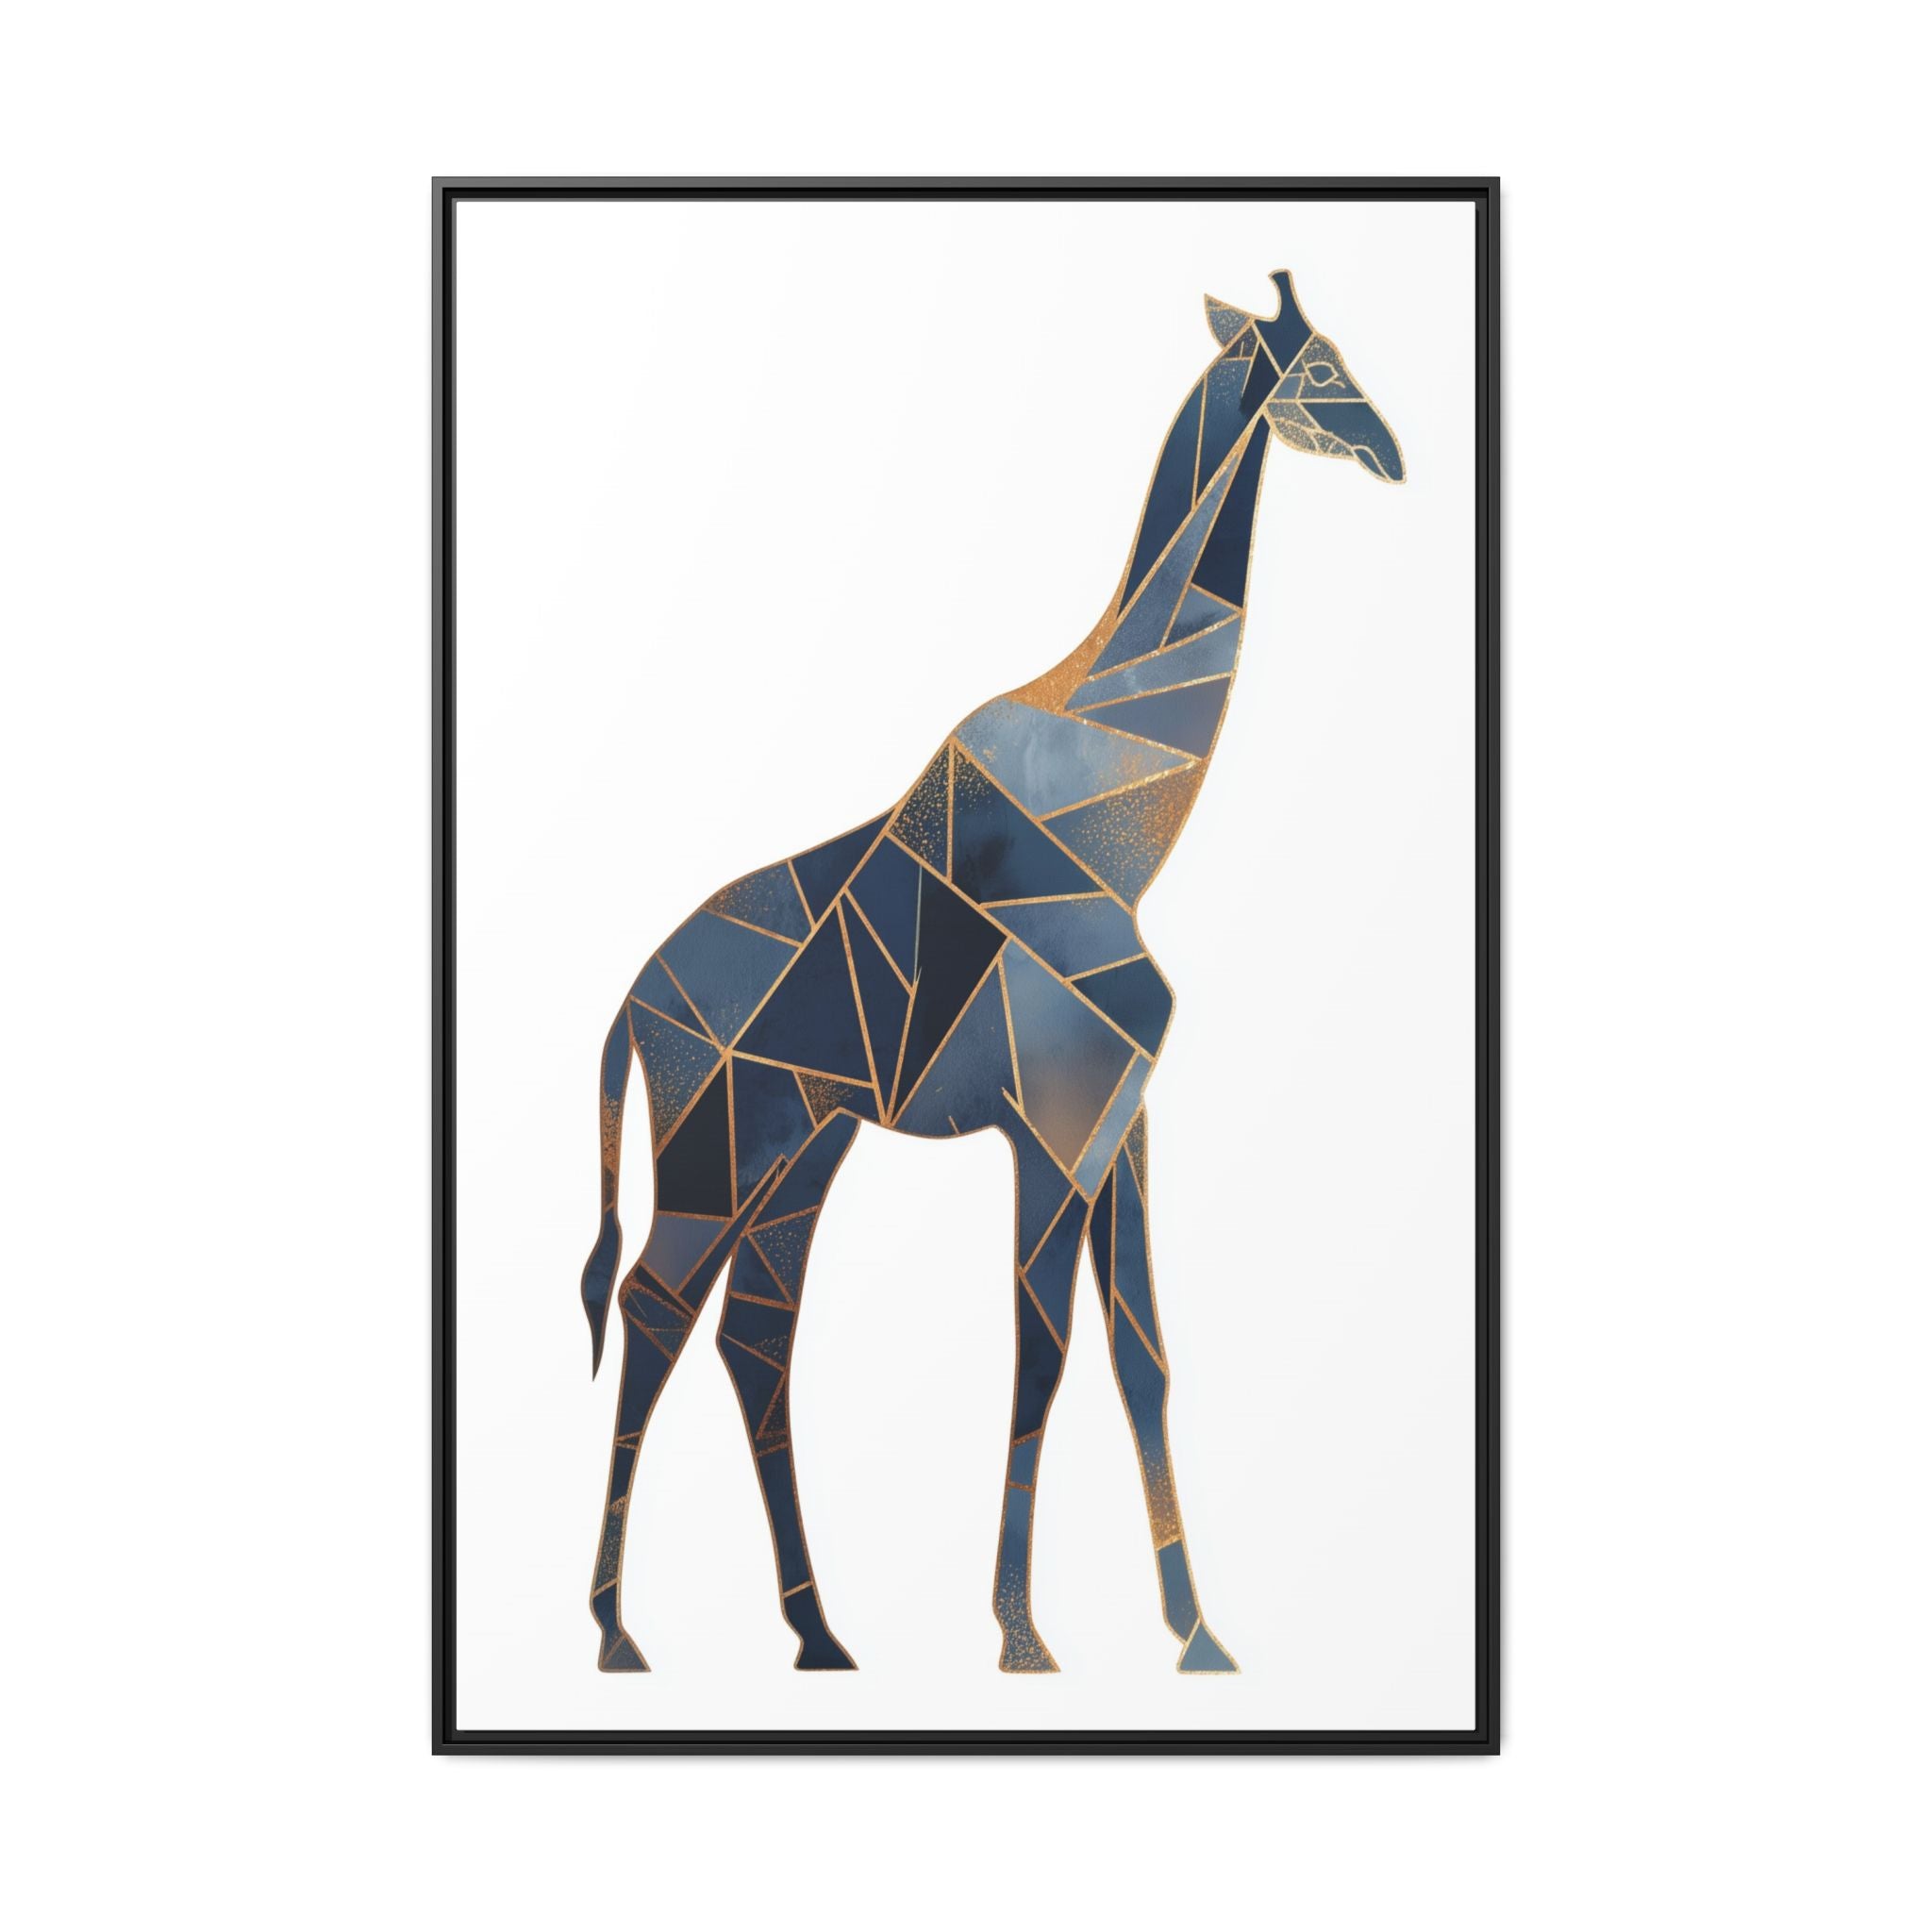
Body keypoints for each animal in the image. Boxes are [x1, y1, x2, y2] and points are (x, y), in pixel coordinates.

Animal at [580, 269, 1405, 1675]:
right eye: (1317, 366)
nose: (1391, 451)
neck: (1123, 820)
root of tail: (631, 1006)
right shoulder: (1054, 1122)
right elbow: (1044, 1352)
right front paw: (1022, 1634)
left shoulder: (1121, 1119)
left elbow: (1142, 1355)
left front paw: (1196, 1635)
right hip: (714, 1149)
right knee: (651, 1312)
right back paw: (616, 1633)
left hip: (802, 1151)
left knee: (754, 1333)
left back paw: (818, 1633)